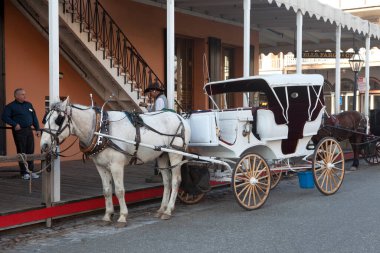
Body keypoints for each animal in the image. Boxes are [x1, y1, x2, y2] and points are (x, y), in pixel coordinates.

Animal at [40, 98, 191, 226]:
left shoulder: (116, 165)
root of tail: (180, 118)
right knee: (167, 181)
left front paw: (122, 216)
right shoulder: (101, 166)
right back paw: (162, 209)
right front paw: (107, 215)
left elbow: (119, 190)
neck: (101, 130)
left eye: (58, 119)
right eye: (45, 118)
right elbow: (107, 190)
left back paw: (168, 210)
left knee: (175, 181)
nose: (44, 145)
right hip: (162, 155)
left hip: (175, 153)